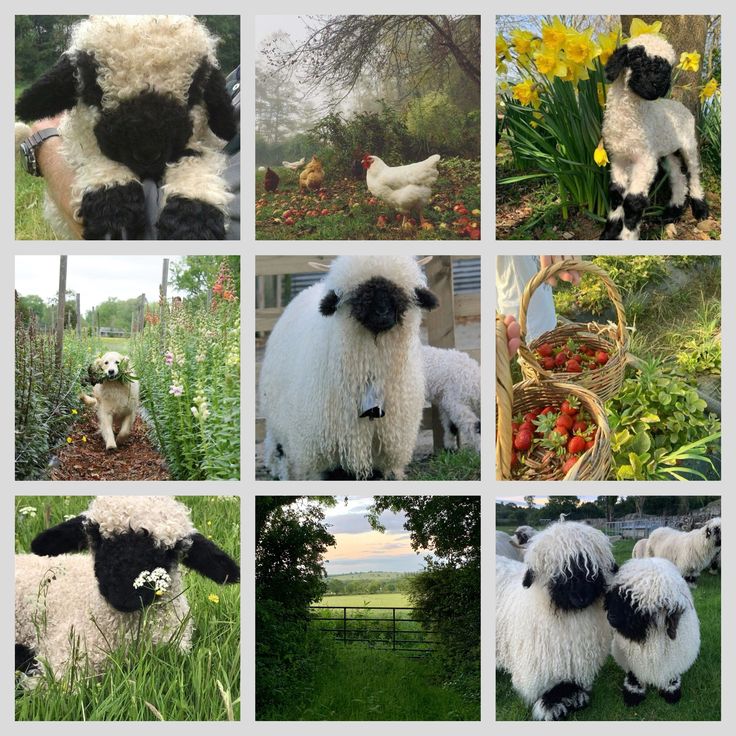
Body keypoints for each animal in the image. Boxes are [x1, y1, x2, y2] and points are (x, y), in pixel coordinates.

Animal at [15, 15, 237, 240]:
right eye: (95, 89)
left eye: (193, 91)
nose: (147, 154)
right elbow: (92, 153)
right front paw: (113, 208)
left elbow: (197, 161)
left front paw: (192, 221)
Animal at [496, 521, 618, 720]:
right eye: (558, 571)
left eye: (592, 568)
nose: (582, 597)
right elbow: (546, 688)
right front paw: (551, 706)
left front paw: (574, 696)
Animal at [600, 33, 708, 240]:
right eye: (637, 58)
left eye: (668, 67)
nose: (659, 84)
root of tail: (679, 105)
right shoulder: (618, 158)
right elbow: (616, 194)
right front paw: (609, 232)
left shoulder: (645, 159)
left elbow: (633, 201)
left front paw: (627, 237)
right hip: (667, 151)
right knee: (678, 178)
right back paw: (671, 213)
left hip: (689, 143)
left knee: (694, 174)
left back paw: (701, 210)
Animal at [605, 557, 700, 706]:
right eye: (616, 593)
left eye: (637, 604)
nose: (610, 617)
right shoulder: (633, 662)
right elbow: (634, 675)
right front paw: (633, 693)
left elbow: (671, 675)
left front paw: (671, 690)